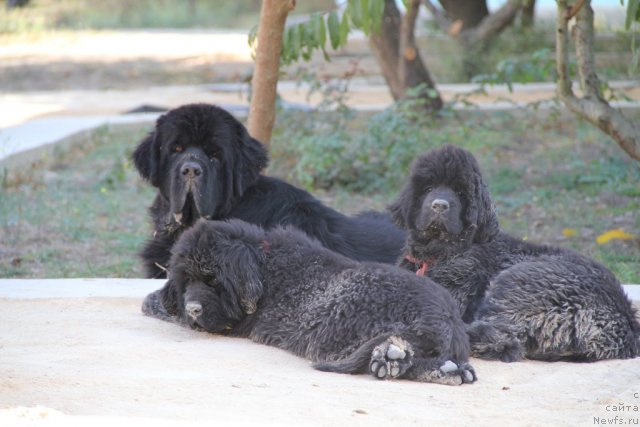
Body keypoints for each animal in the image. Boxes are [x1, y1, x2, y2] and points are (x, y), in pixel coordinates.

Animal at [142, 219, 478, 386]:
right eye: (187, 281)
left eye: (213, 281)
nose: (193, 309)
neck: (262, 264)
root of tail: (446, 315)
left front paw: (153, 300)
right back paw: (447, 371)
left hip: (335, 327)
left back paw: (392, 358)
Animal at [390, 145, 640, 362]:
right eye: (428, 189)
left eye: (460, 193)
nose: (440, 205)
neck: (440, 254)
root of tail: (625, 328)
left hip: (518, 282)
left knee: (503, 341)